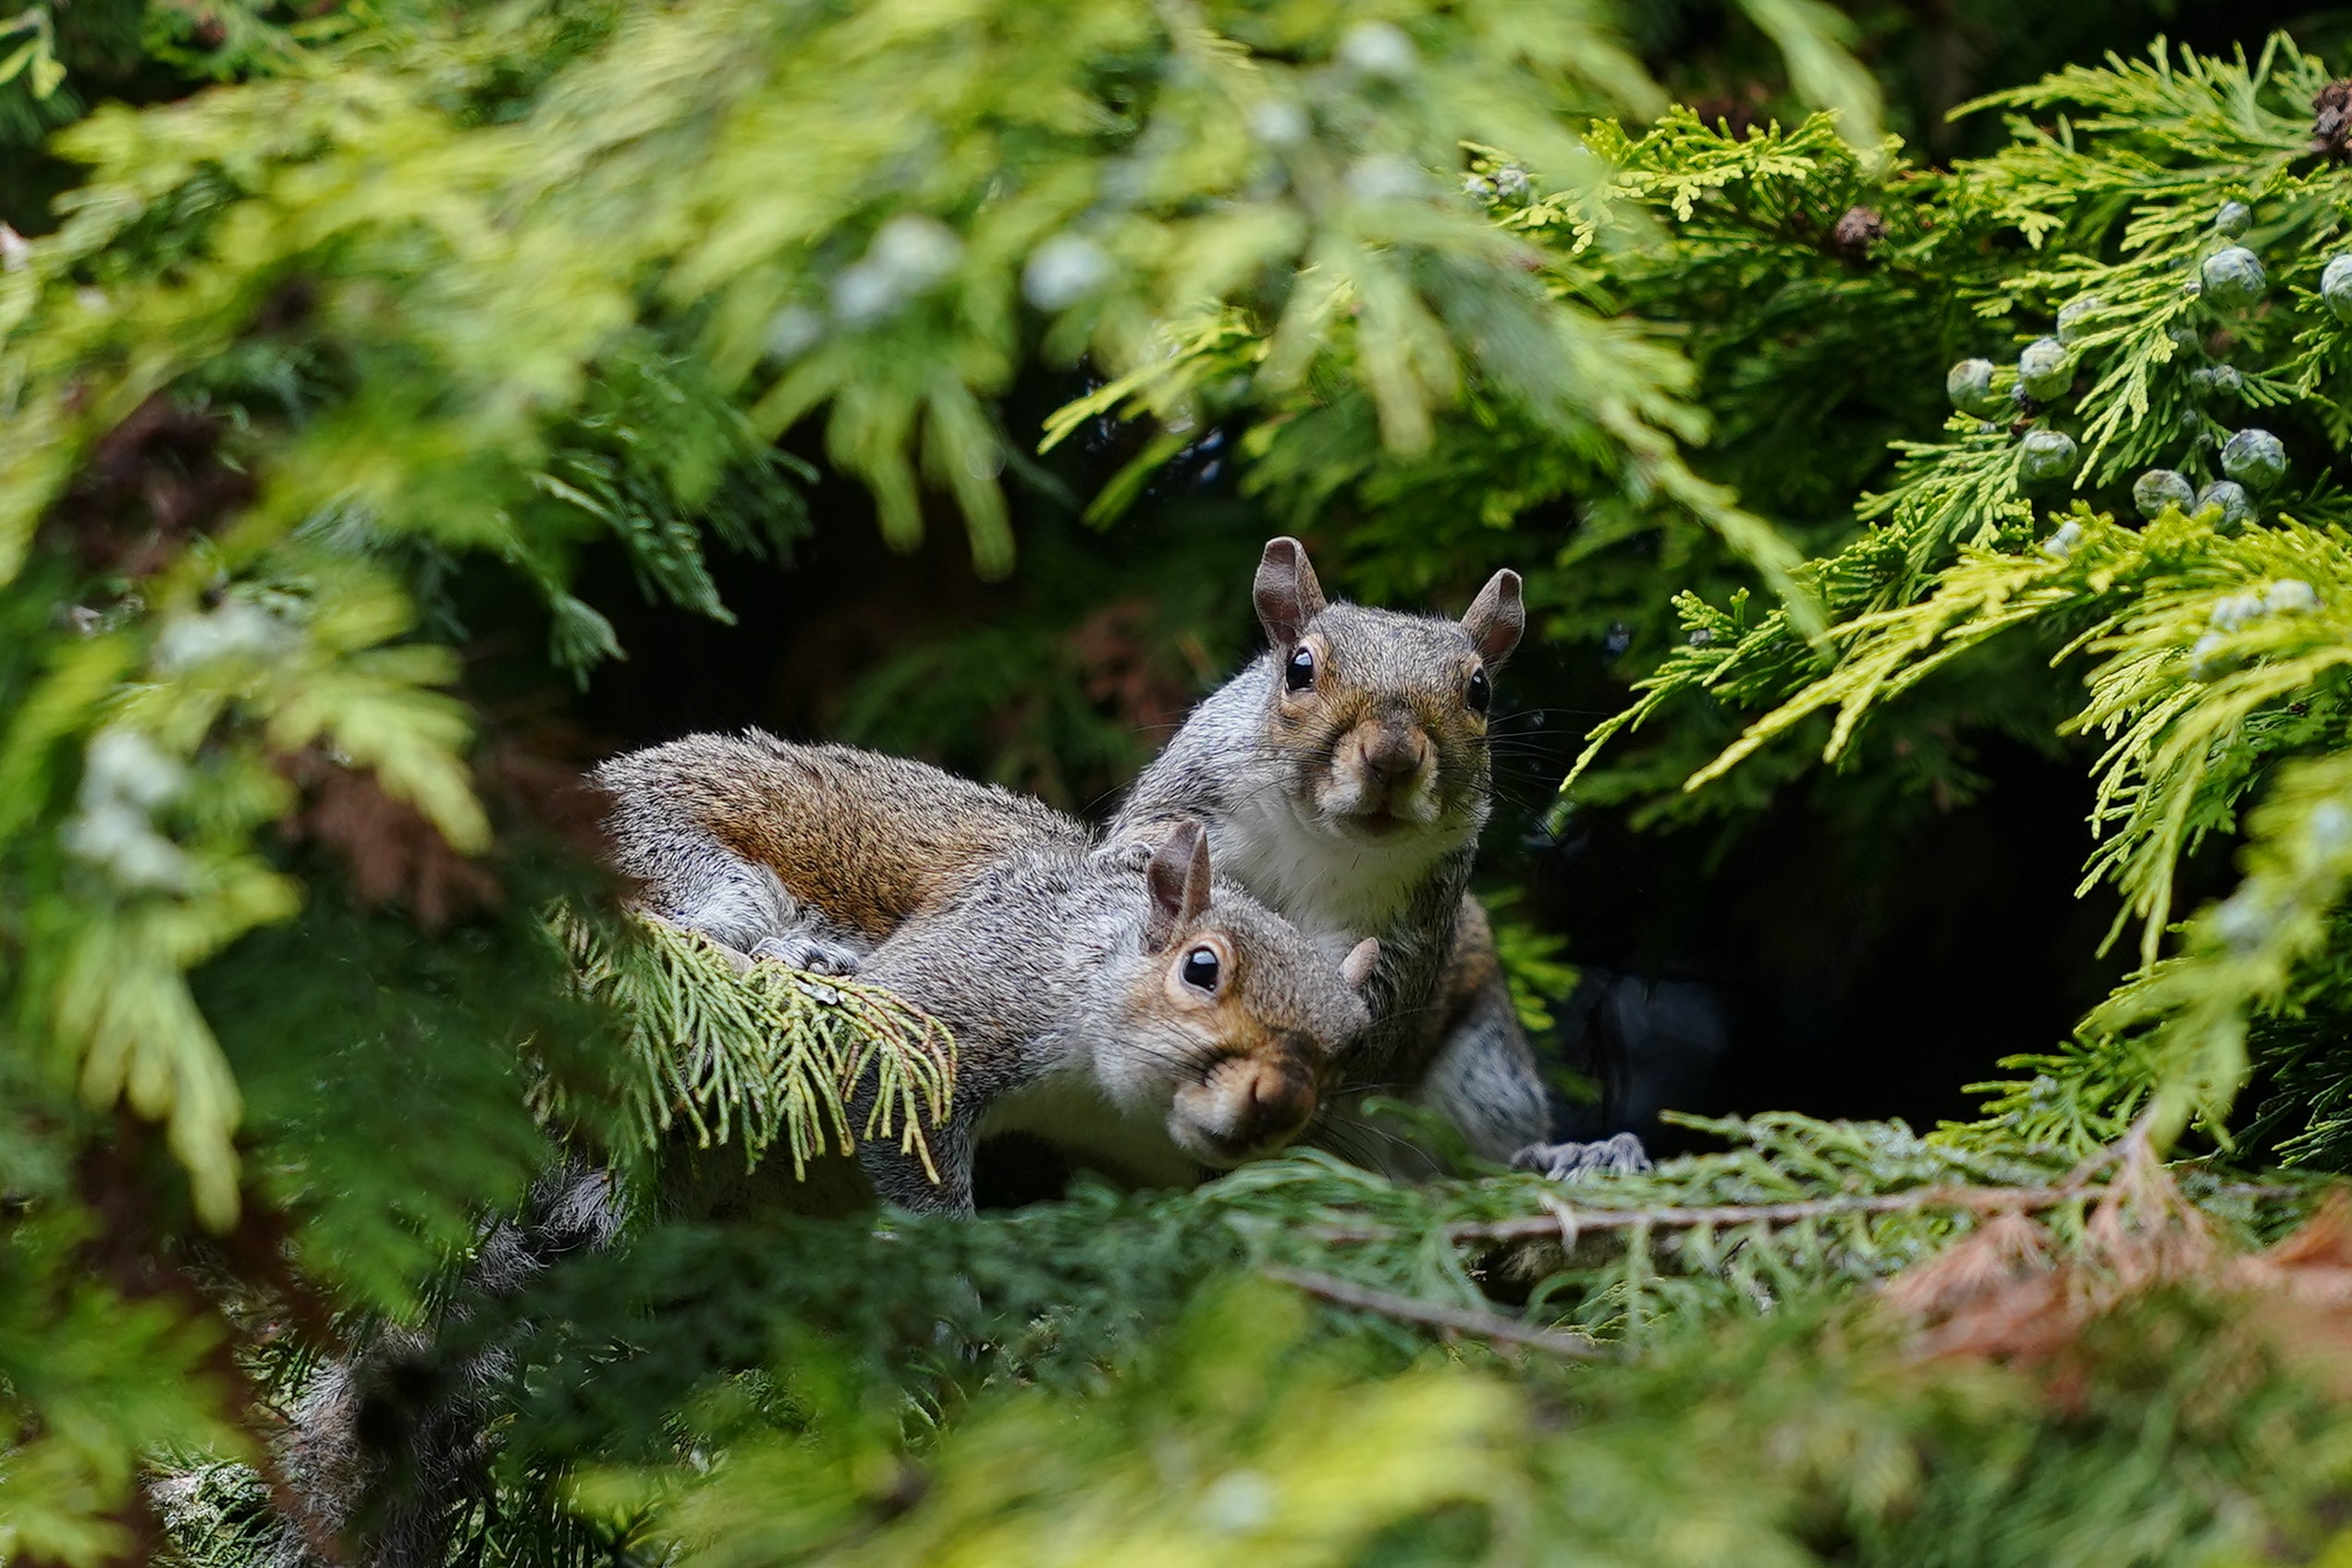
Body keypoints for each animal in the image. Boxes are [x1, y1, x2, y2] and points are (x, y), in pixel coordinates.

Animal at [593, 734, 1380, 1214]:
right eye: (1202, 967)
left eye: (1353, 1044)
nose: (1280, 1101)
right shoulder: (965, 992)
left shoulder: (1142, 1160)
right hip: (679, 859)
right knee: (687, 932)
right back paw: (804, 957)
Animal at [1108, 538, 1647, 1181]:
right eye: (1299, 668)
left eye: (1480, 691)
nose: (1392, 756)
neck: (1317, 838)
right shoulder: (1189, 797)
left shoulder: (1412, 918)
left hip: (1484, 1074)